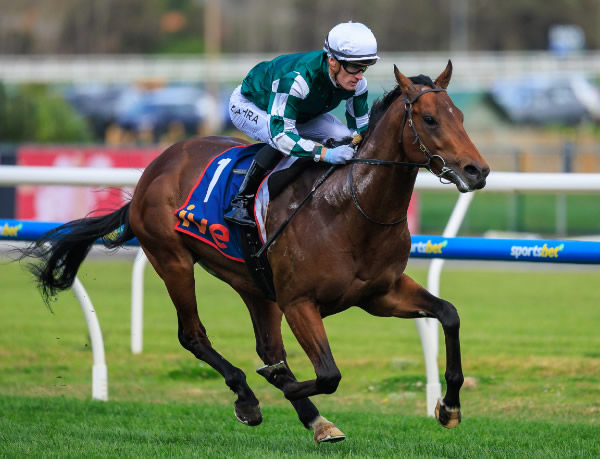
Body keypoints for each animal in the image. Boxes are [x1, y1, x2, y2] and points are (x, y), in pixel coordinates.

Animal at [25, 63, 490, 444]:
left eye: (461, 116)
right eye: (429, 119)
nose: (478, 170)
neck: (351, 206)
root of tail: (155, 168)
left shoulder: (381, 293)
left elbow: (449, 314)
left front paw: (449, 407)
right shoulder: (300, 301)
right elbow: (328, 374)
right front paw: (276, 385)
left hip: (253, 281)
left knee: (267, 346)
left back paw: (312, 417)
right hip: (172, 259)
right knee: (194, 335)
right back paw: (248, 396)